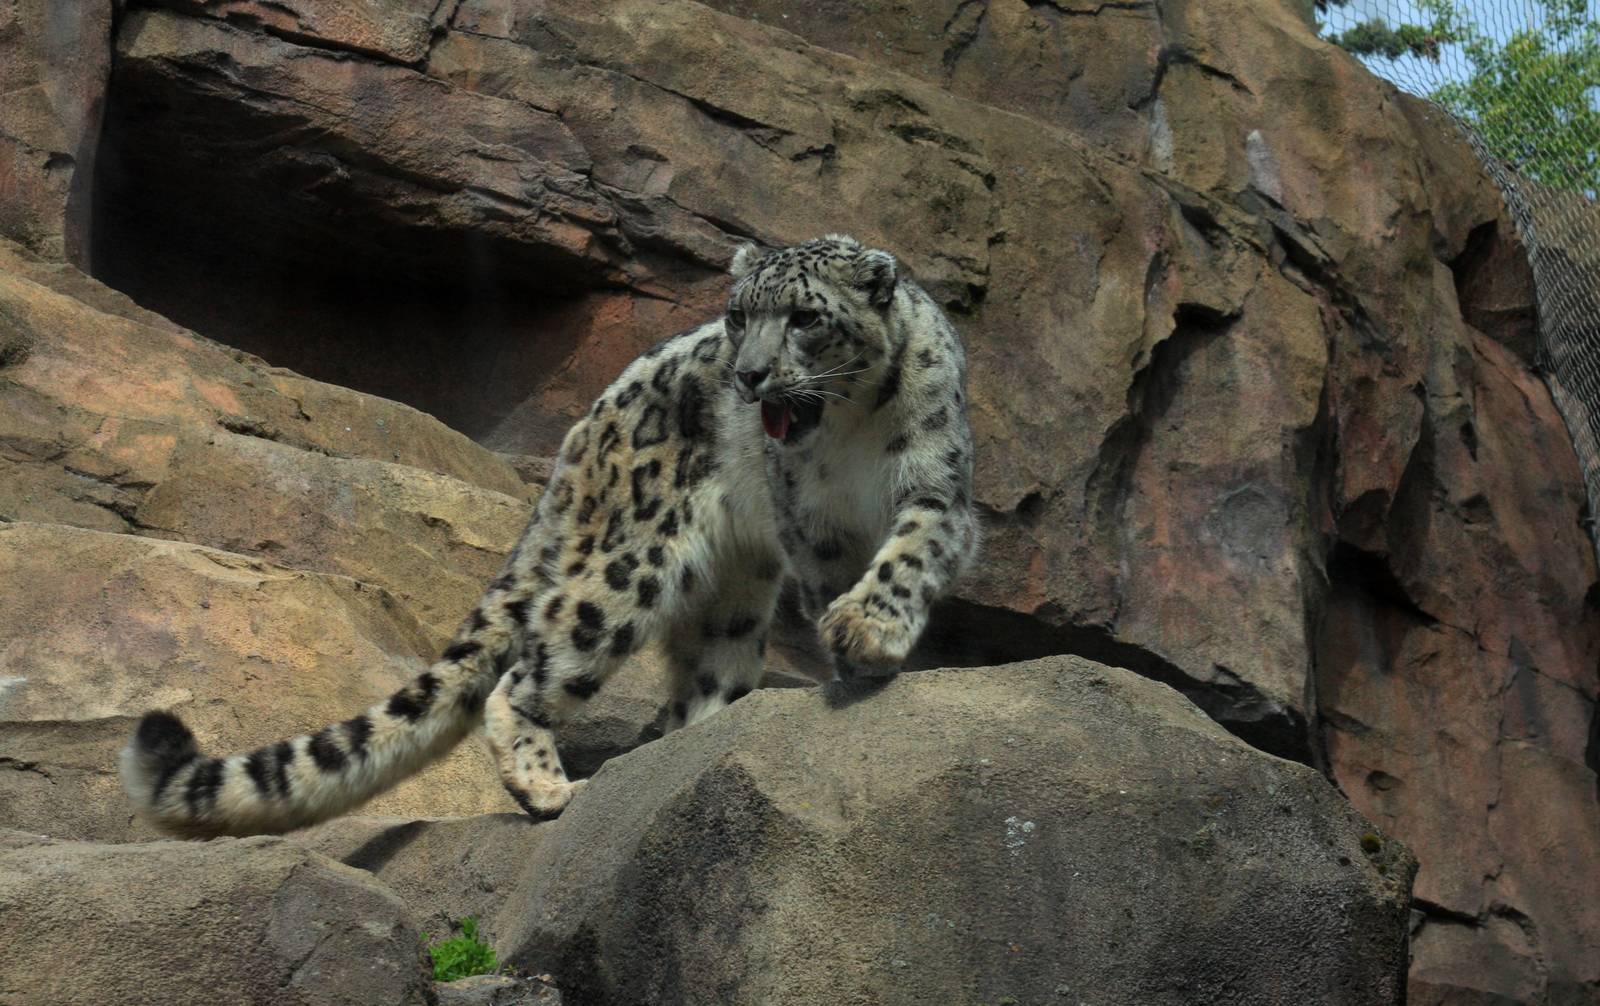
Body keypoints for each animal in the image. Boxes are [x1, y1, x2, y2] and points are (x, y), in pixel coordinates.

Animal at [120, 234, 980, 838]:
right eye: (741, 315)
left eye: (803, 317)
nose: (750, 376)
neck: (850, 429)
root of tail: (582, 434)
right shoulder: (809, 522)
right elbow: (842, 577)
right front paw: (858, 644)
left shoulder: (937, 489)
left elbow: (906, 556)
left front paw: (867, 632)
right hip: (630, 567)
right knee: (524, 673)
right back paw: (548, 786)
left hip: (734, 594)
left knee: (701, 677)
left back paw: (690, 746)